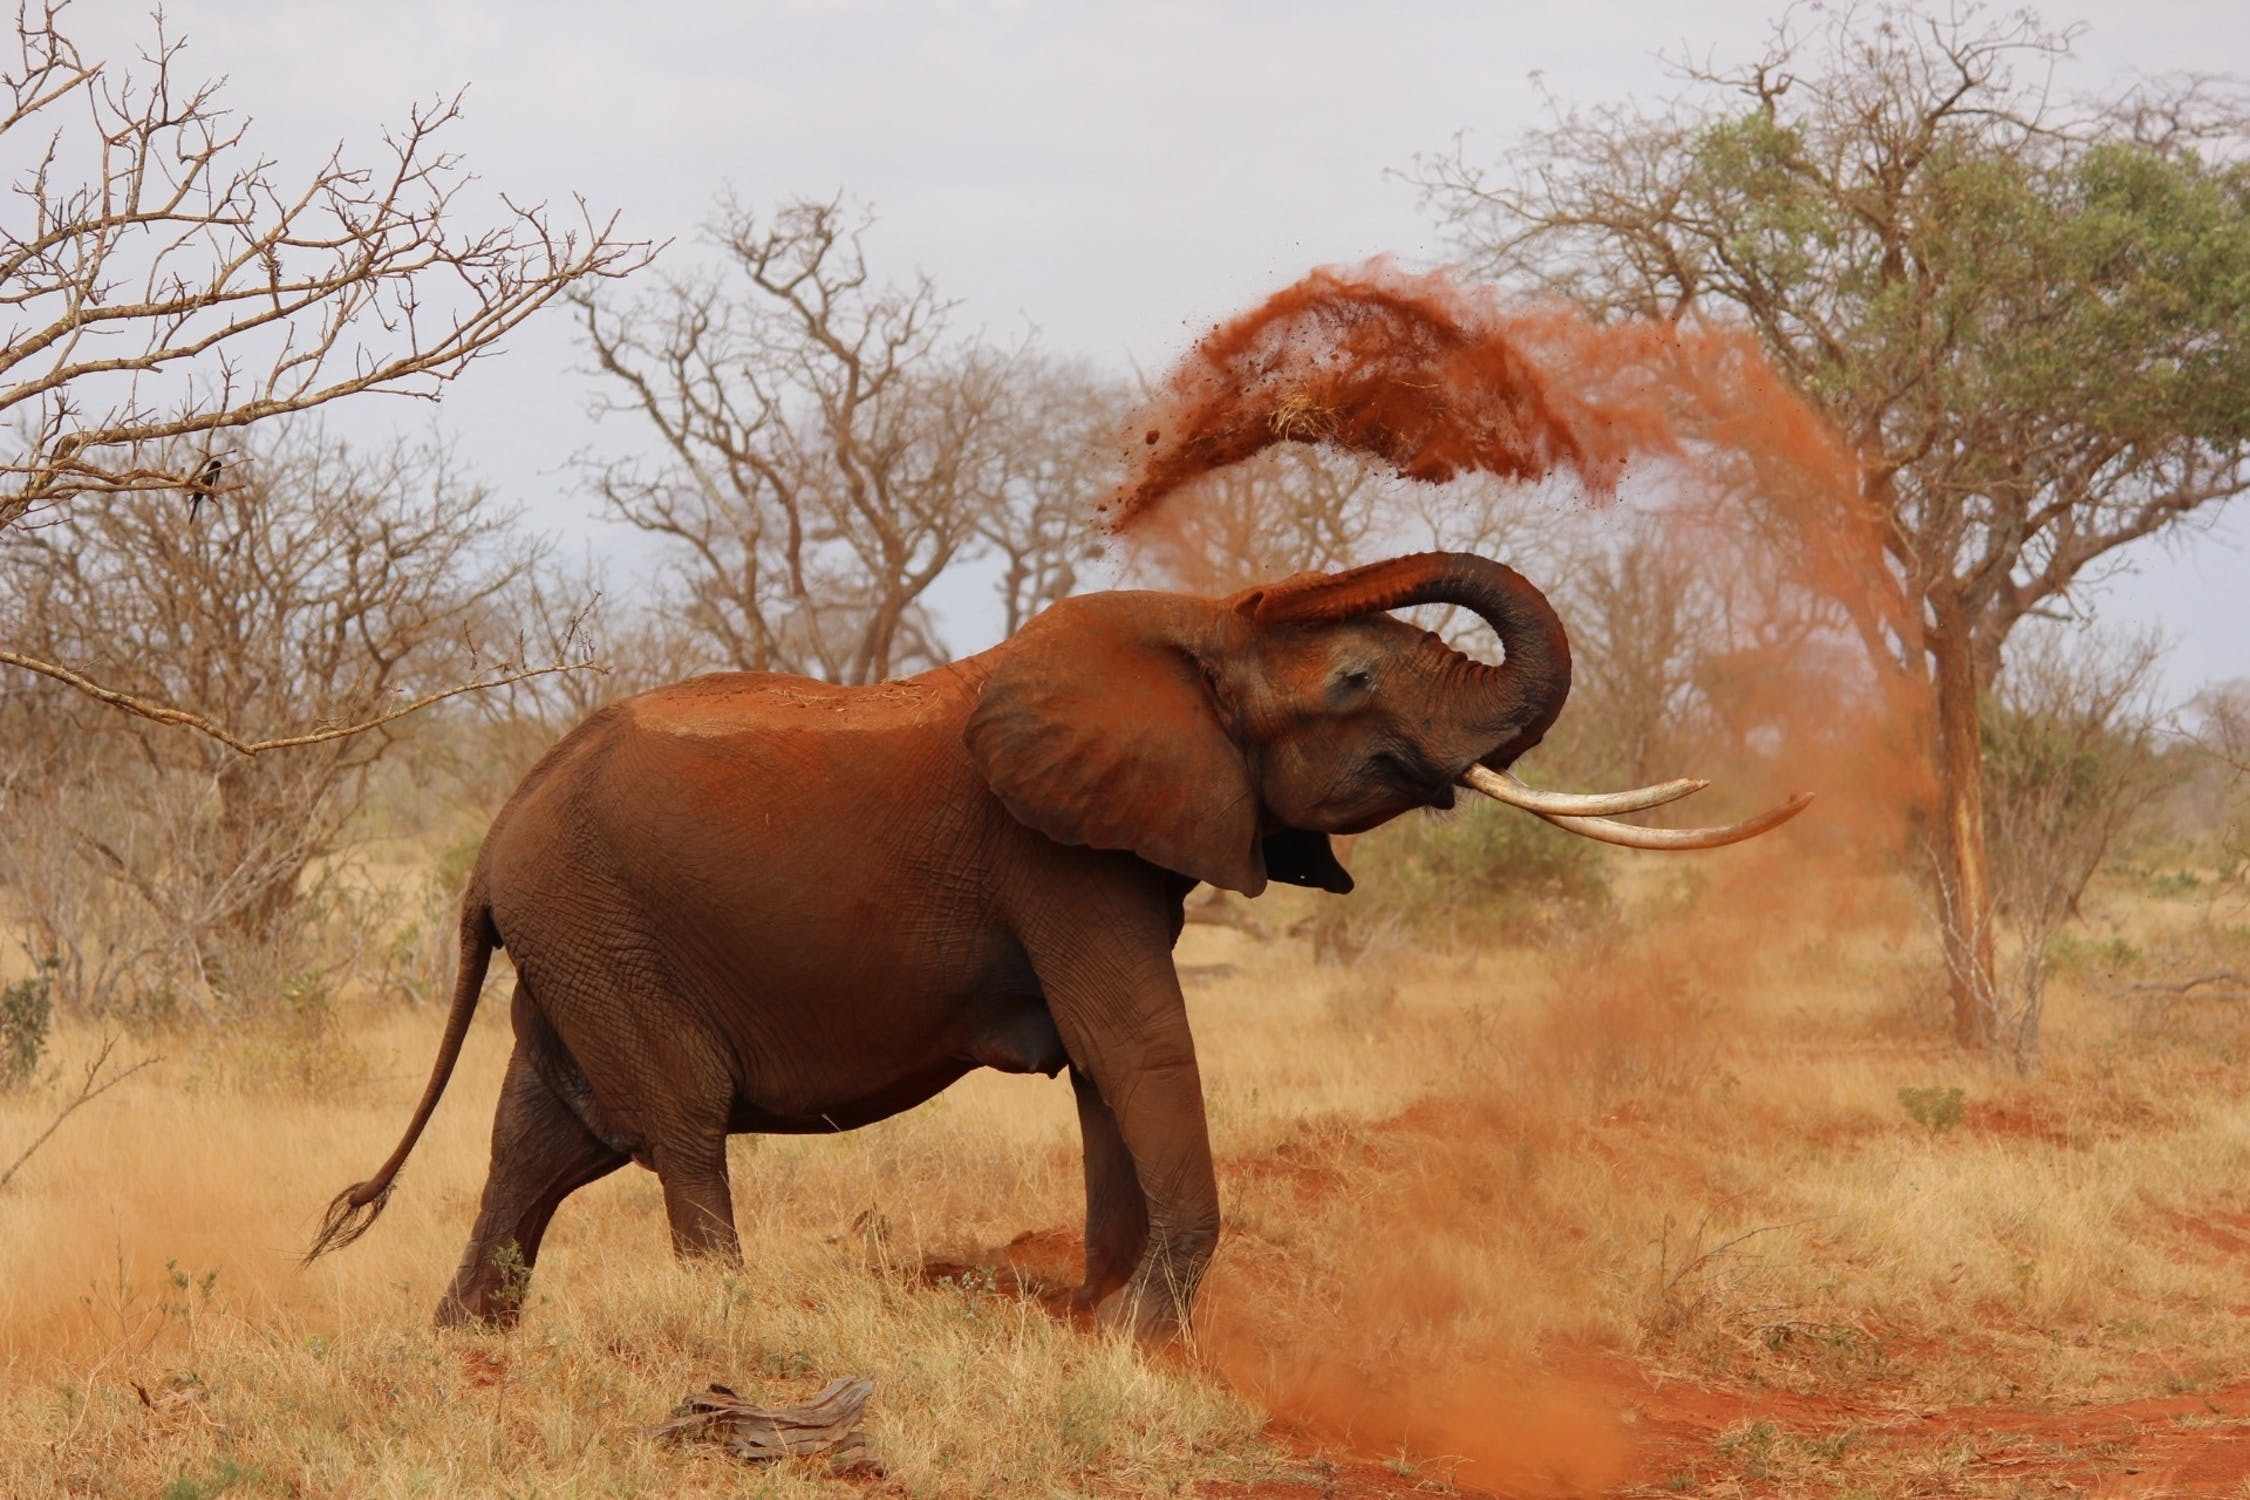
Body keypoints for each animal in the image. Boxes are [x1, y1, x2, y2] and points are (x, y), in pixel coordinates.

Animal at [308, 550, 1800, 1340]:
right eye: (1358, 679)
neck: (1192, 634)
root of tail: (496, 832)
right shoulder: (1055, 856)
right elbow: (1134, 1039)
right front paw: (1144, 1337)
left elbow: (1105, 1065)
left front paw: (1100, 1320)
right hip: (600, 924)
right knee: (671, 1122)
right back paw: (731, 1327)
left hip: (574, 936)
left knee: (543, 1139)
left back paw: (465, 1349)